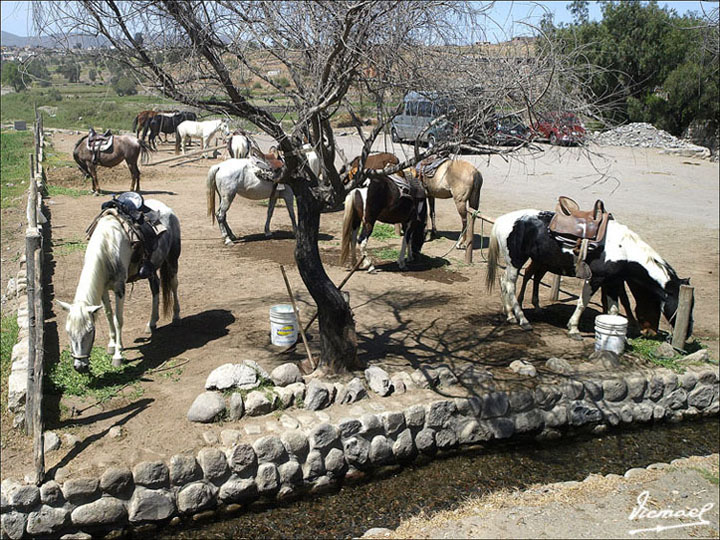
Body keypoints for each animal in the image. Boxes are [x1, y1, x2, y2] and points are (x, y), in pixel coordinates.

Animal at [58, 198, 181, 372]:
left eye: (90, 331)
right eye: (68, 331)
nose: (79, 366)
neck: (107, 247)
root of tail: (166, 208)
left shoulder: (119, 288)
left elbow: (118, 320)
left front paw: (118, 356)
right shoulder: (103, 289)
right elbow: (109, 315)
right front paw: (112, 345)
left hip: (172, 258)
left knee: (174, 284)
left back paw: (176, 316)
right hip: (151, 268)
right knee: (155, 289)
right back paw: (151, 323)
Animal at [484, 210, 692, 340]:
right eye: (679, 303)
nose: (688, 333)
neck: (623, 249)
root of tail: (503, 220)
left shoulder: (612, 282)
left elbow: (614, 309)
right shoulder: (596, 279)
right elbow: (583, 303)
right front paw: (574, 329)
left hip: (520, 262)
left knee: (504, 282)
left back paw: (510, 315)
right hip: (516, 261)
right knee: (510, 285)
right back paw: (523, 320)